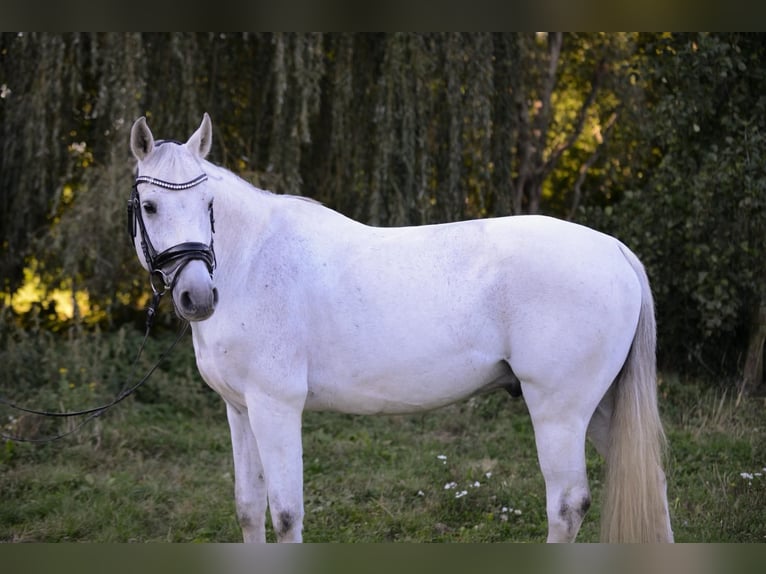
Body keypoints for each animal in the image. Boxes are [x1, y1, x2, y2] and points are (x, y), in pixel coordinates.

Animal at [127, 113, 673, 543]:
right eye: (150, 207)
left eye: (208, 206)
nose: (198, 297)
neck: (253, 260)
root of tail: (614, 249)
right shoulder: (240, 410)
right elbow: (247, 510)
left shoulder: (275, 407)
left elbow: (284, 515)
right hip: (600, 407)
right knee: (650, 476)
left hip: (559, 411)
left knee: (567, 504)